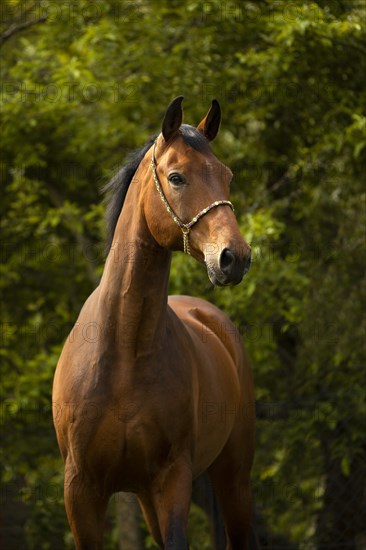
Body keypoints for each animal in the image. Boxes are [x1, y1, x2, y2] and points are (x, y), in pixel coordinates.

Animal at [53, 97, 256, 548]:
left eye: (227, 176)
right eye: (176, 177)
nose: (234, 257)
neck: (124, 355)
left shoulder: (172, 479)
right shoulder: (81, 490)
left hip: (233, 478)